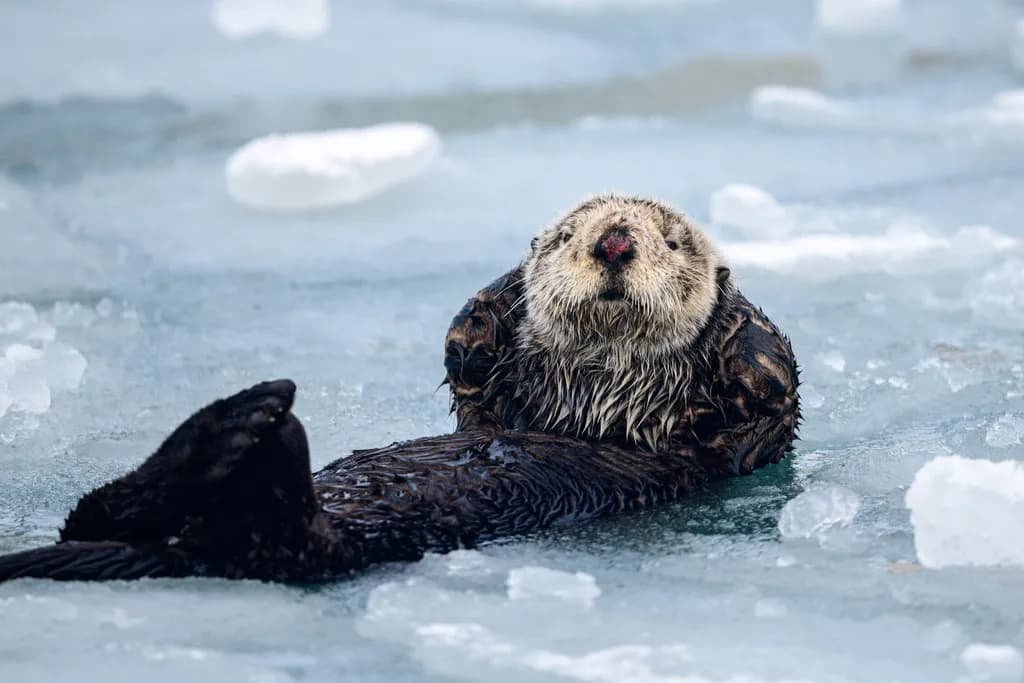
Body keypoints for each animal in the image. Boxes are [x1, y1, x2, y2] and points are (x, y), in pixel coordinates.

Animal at [0, 195, 799, 582]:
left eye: (674, 241)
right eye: (570, 234)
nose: (614, 241)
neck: (596, 408)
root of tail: (181, 549)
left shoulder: (728, 444)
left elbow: (770, 399)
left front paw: (748, 336)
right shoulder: (487, 405)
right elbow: (469, 364)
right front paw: (493, 301)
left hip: (302, 545)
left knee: (267, 533)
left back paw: (253, 419)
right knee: (96, 514)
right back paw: (248, 413)